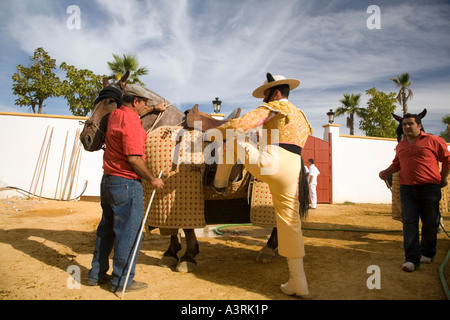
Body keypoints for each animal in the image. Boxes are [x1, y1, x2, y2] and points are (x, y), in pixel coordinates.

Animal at [78, 75, 286, 272]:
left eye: (110, 101)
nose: (85, 138)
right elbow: (171, 226)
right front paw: (171, 253)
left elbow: (186, 227)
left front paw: (188, 257)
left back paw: (269, 249)